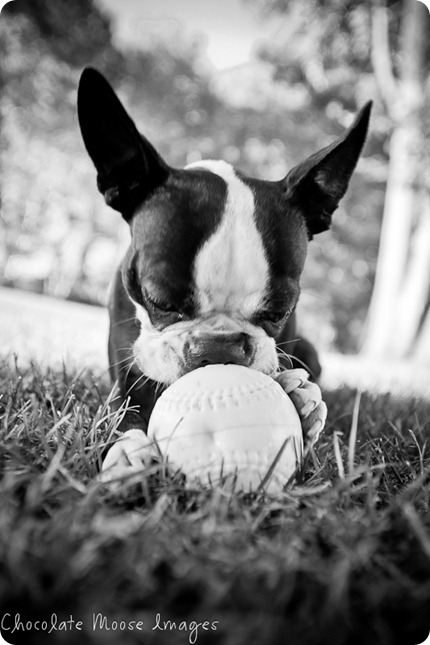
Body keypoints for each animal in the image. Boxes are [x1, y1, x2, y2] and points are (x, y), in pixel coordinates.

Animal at [76, 68, 370, 478]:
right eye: (158, 300)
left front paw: (299, 405)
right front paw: (129, 451)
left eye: (280, 312)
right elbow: (126, 408)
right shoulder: (128, 366)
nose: (219, 349)